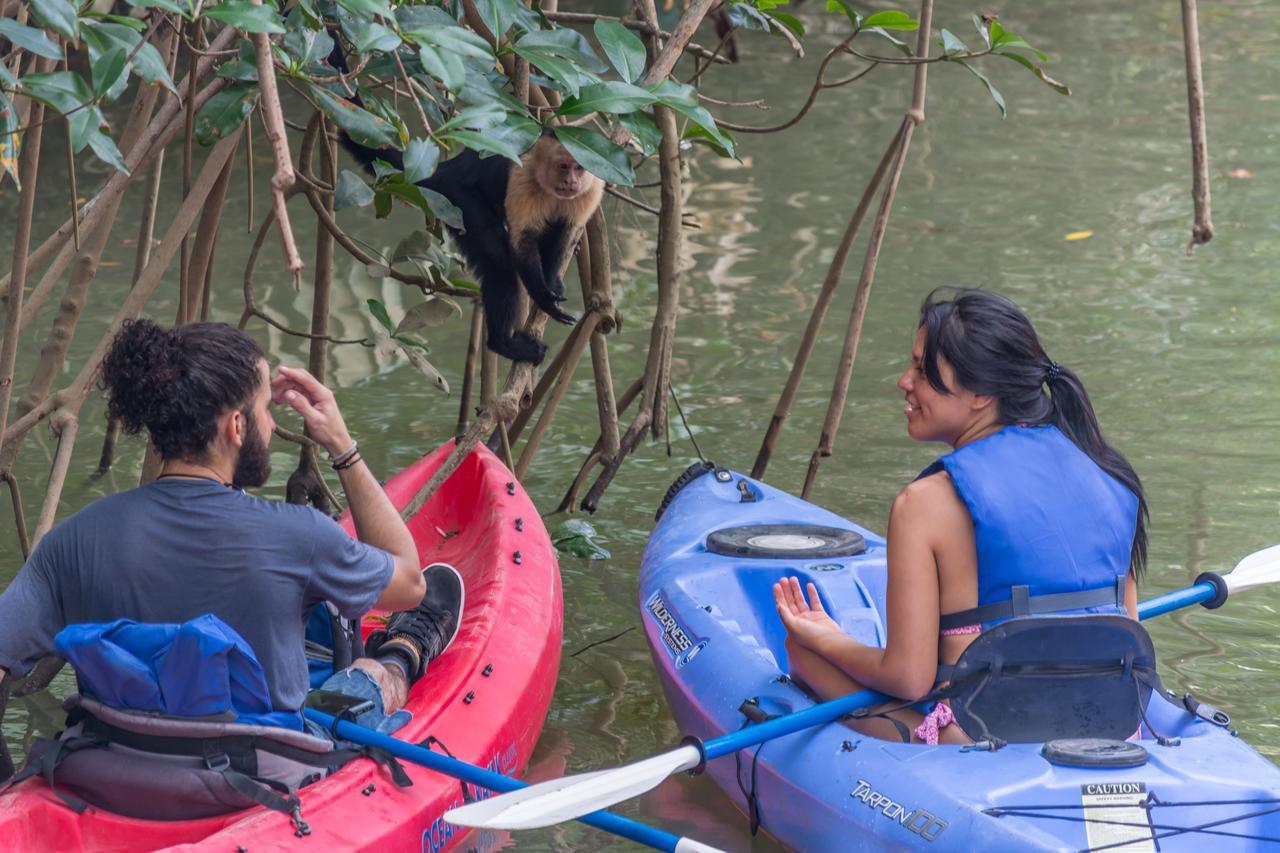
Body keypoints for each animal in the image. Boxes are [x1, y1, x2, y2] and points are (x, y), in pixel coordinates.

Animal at [340, 131, 599, 361]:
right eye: (564, 166)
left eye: (579, 168)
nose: (572, 181)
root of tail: (448, 167)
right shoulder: (523, 175)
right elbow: (522, 241)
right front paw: (544, 297)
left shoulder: (590, 191)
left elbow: (563, 235)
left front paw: (552, 283)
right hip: (457, 201)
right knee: (498, 262)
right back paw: (503, 344)